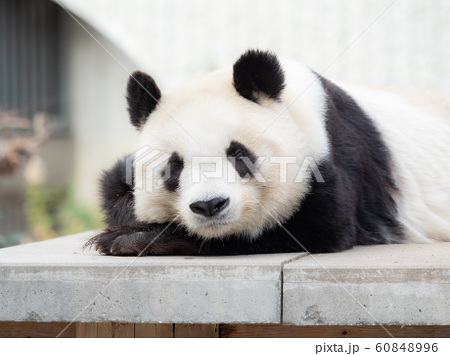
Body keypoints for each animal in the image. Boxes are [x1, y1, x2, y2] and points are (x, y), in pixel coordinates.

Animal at [87, 49, 450, 256]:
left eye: (239, 155)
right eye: (173, 167)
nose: (210, 205)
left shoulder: (329, 153)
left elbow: (316, 227)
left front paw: (126, 240)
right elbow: (114, 185)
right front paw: (128, 227)